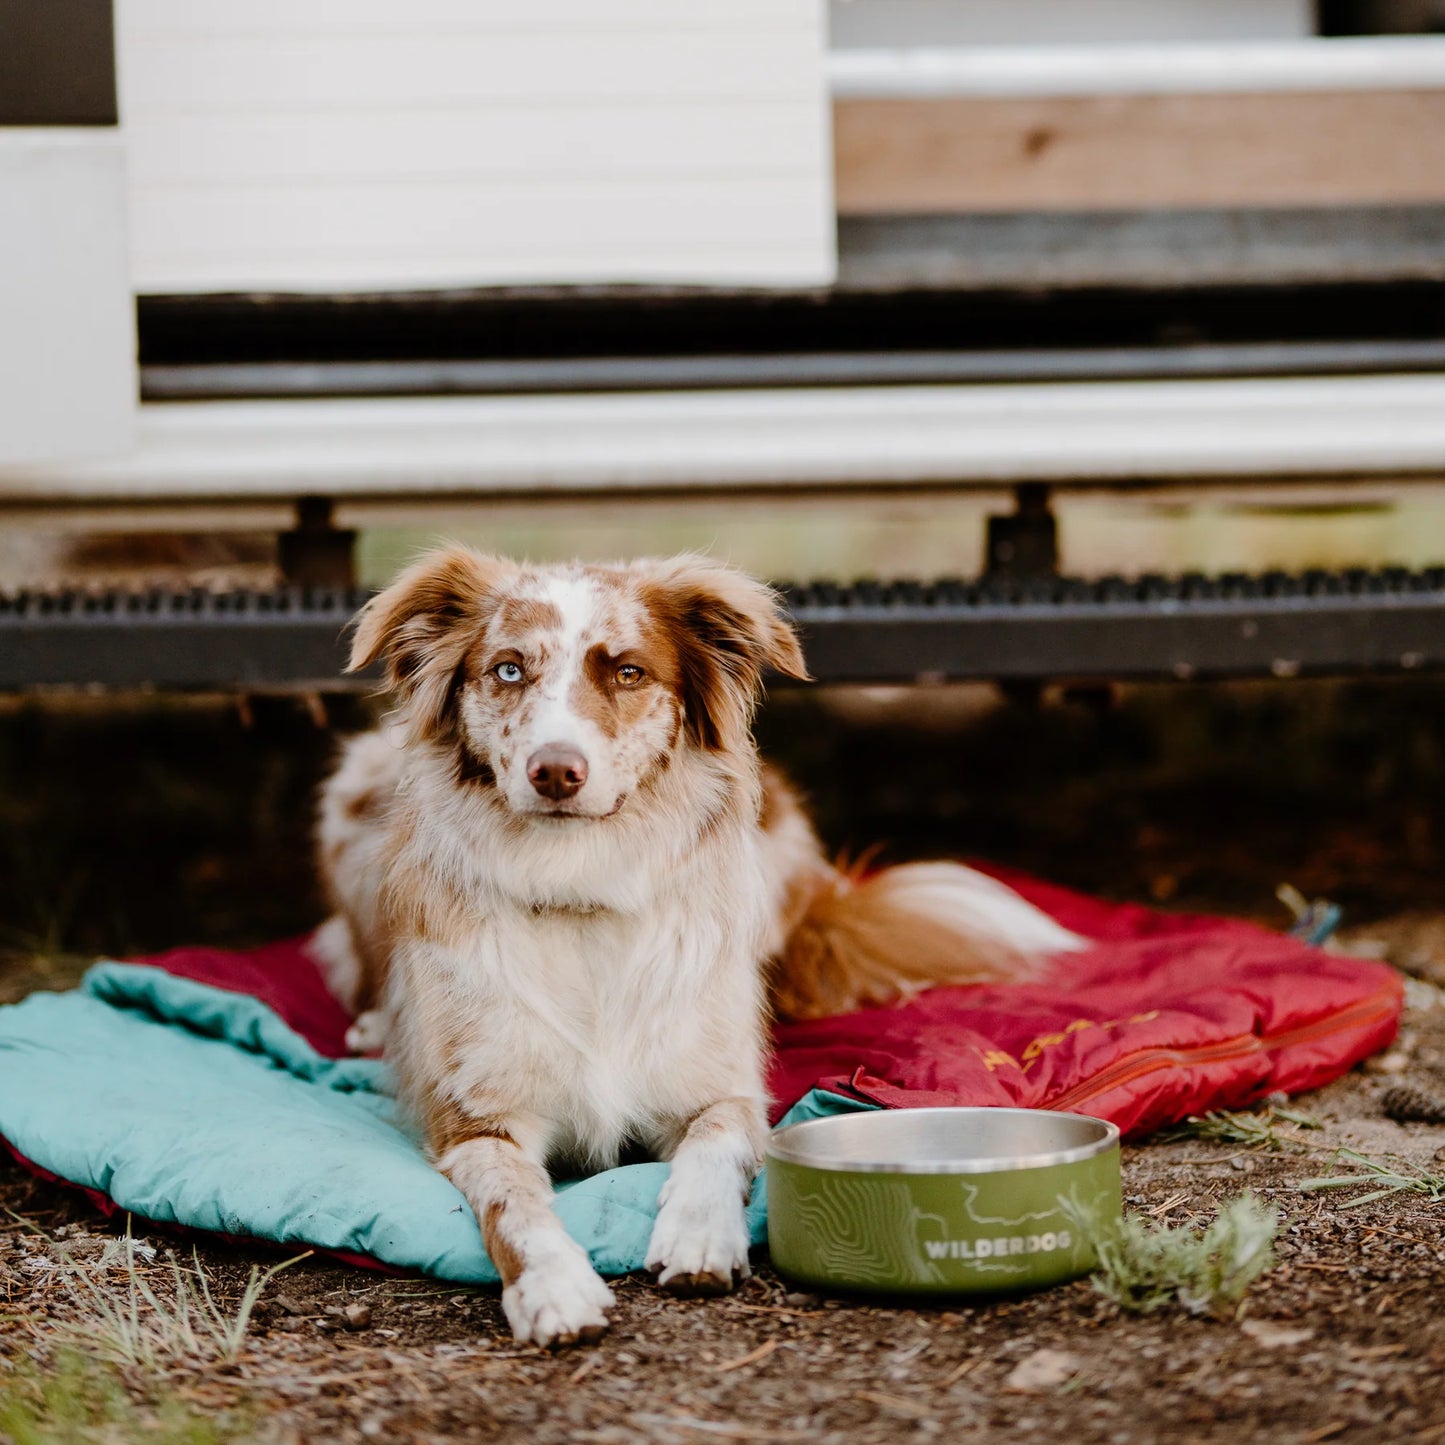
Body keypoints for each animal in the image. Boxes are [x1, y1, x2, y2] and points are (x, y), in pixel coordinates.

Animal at [316, 546, 1086, 1346]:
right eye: (507, 669)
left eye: (628, 672)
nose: (555, 771)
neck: (580, 886)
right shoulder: (474, 1121)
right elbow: (512, 1202)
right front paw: (553, 1285)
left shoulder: (723, 1088)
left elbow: (719, 1143)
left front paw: (699, 1234)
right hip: (355, 787)